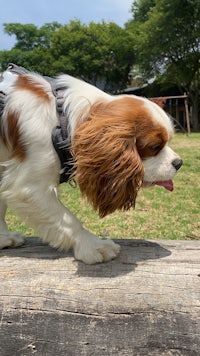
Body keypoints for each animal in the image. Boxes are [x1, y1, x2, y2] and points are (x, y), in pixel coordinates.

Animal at [0, 64, 183, 264]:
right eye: (154, 147)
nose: (179, 163)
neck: (60, 118)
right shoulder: (29, 187)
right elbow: (68, 220)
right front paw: (93, 246)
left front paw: (3, 238)